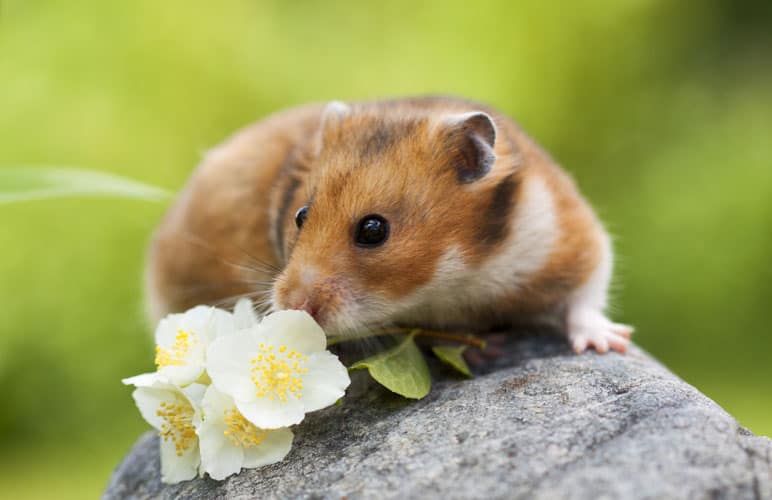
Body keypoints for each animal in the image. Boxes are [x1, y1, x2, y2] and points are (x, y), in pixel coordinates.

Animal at [146, 95, 632, 354]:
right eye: (300, 215)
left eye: (373, 230)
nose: (293, 306)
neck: (457, 272)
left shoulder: (571, 235)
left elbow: (586, 295)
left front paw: (607, 344)